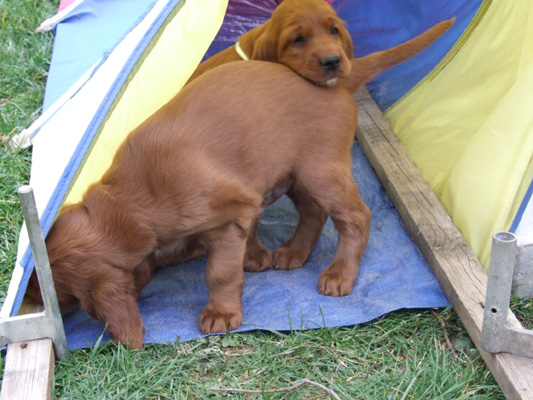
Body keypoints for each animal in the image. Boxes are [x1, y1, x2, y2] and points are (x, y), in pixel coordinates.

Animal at [25, 18, 453, 348]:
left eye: (53, 291)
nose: (28, 300)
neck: (131, 198)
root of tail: (341, 77)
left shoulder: (228, 216)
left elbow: (220, 271)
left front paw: (221, 312)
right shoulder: (242, 204)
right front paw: (255, 257)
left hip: (321, 170)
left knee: (356, 217)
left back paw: (339, 275)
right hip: (296, 172)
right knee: (313, 213)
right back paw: (293, 253)